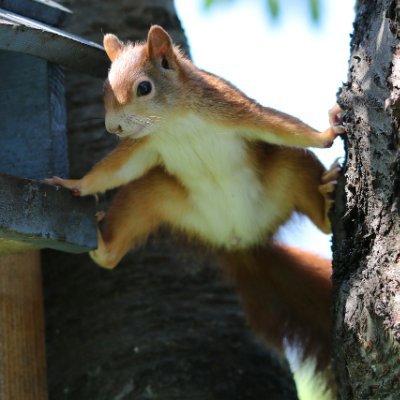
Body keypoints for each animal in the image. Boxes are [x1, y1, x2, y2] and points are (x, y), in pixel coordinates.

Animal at [49, 25, 344, 400]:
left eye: (143, 87)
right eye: (105, 87)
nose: (113, 128)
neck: (174, 123)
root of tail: (240, 241)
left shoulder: (231, 108)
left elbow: (279, 125)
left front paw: (327, 131)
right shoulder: (143, 146)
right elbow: (113, 171)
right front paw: (75, 184)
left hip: (289, 170)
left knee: (316, 208)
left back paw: (327, 203)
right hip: (153, 196)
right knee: (116, 245)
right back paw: (103, 247)